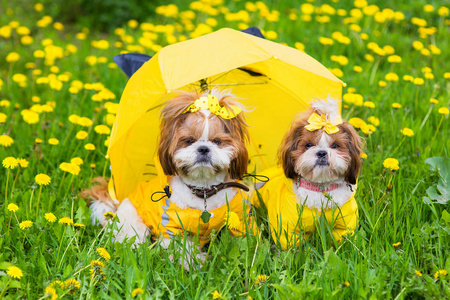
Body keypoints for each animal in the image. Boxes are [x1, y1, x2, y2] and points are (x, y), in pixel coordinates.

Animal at [83, 88, 253, 266]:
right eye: (189, 140)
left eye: (217, 141)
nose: (203, 148)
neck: (204, 191)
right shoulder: (172, 227)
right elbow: (182, 247)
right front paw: (194, 263)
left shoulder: (239, 218)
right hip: (131, 222)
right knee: (134, 239)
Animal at [251, 98, 364, 248]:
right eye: (308, 145)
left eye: (335, 145)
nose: (321, 152)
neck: (320, 189)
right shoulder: (289, 228)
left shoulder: (345, 223)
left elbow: (346, 238)